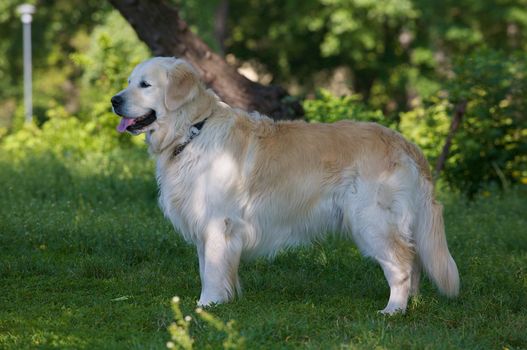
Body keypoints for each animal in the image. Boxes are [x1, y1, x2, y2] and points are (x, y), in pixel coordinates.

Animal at [111, 57, 458, 314]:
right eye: (128, 82)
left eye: (145, 84)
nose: (114, 100)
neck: (193, 130)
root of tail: (404, 143)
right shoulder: (204, 225)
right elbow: (207, 266)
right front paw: (218, 301)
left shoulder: (218, 223)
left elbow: (211, 270)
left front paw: (206, 306)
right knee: (413, 259)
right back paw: (412, 303)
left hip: (371, 221)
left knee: (401, 264)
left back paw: (393, 310)